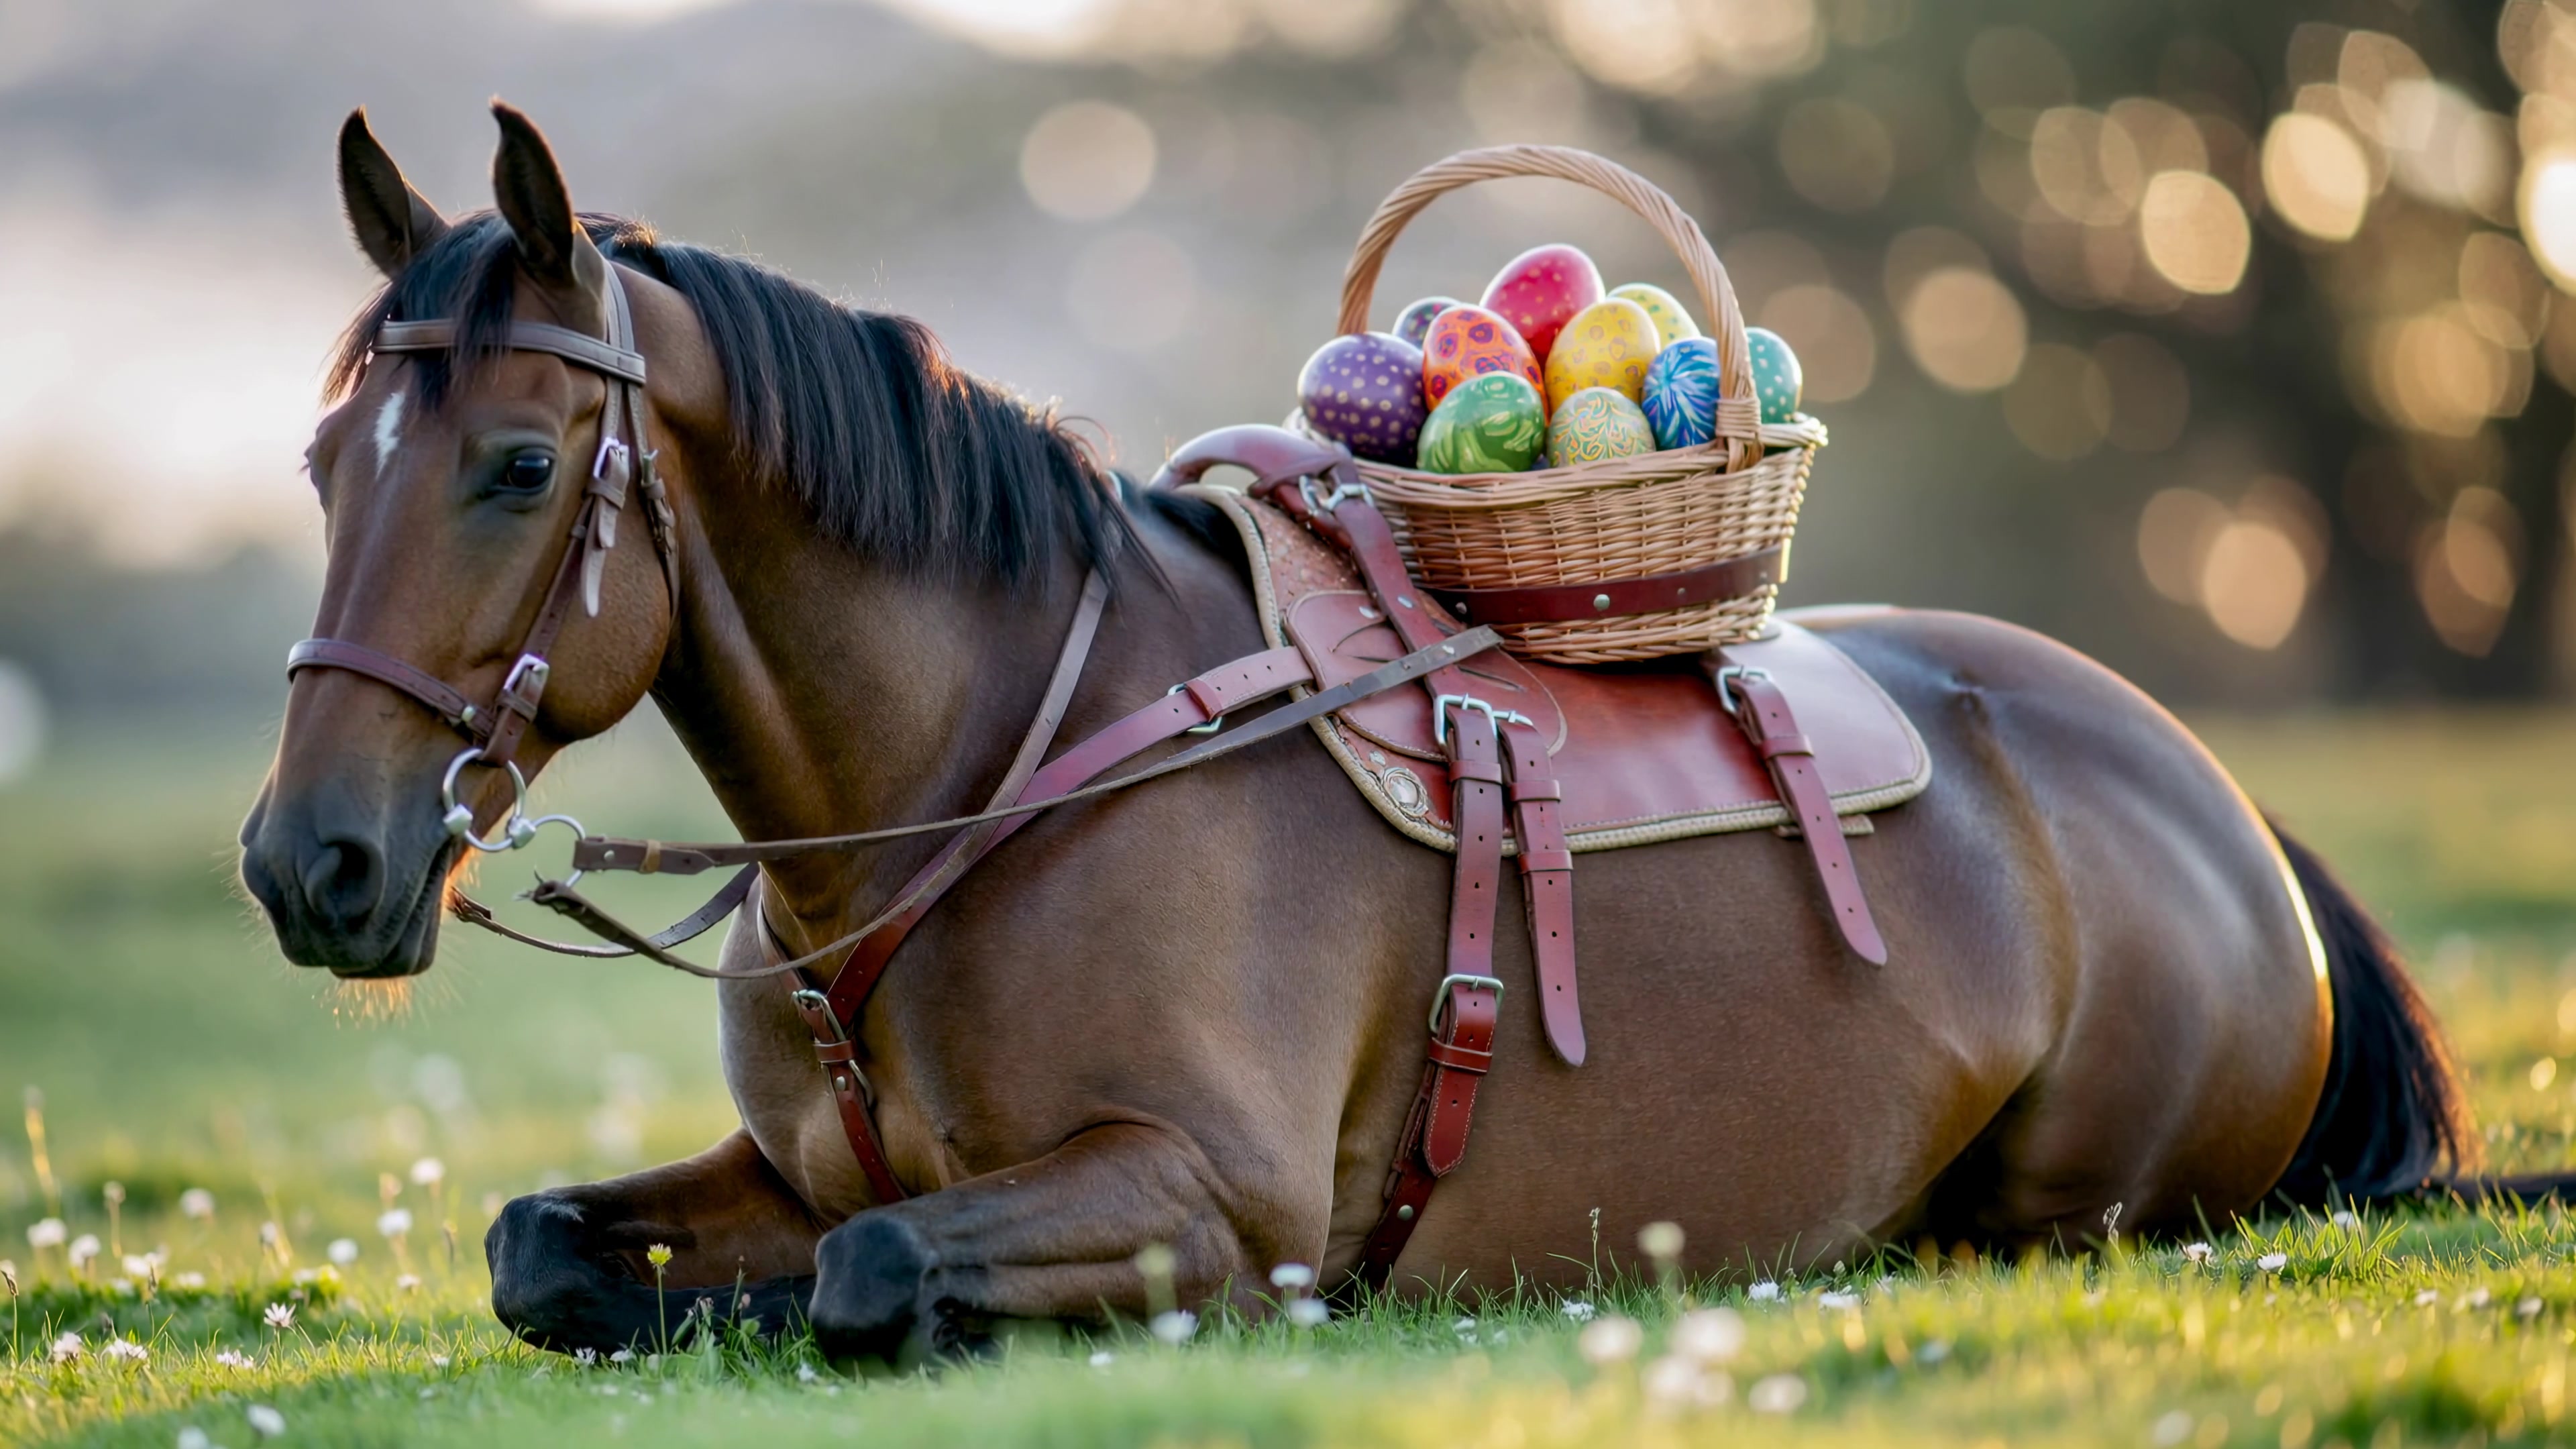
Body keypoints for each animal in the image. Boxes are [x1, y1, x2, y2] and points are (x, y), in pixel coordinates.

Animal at [242, 103, 2507, 1361]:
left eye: (519, 467)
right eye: (325, 458)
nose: (309, 864)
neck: (973, 794)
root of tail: (2205, 791)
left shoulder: (1212, 1201)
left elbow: (879, 1269)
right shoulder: (775, 1169)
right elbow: (543, 1246)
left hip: (2082, 1207)